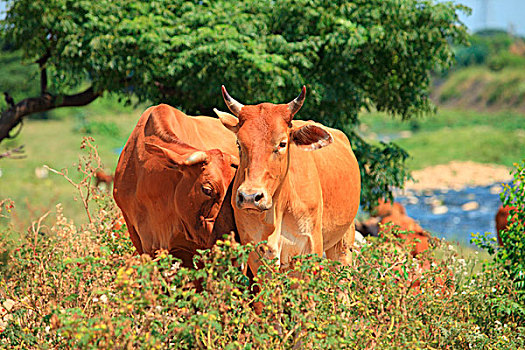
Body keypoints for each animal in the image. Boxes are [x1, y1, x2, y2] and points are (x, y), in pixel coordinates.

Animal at [214, 85, 360, 276]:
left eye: (282, 143)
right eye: (239, 143)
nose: (249, 197)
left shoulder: (310, 245)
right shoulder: (256, 251)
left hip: (343, 244)